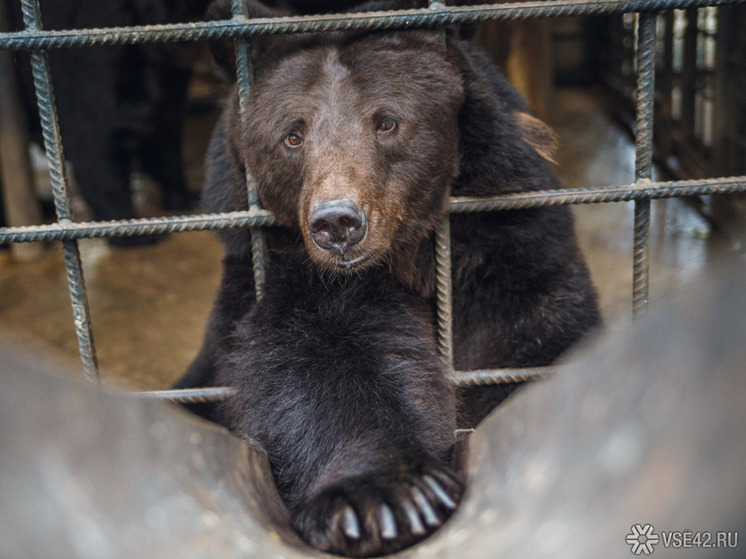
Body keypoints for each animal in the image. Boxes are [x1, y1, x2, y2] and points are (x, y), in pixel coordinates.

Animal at [174, 2, 600, 556]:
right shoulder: (286, 279)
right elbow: (320, 363)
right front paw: (384, 496)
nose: (337, 222)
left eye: (387, 122)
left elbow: (531, 338)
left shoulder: (509, 248)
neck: (407, 259)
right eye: (293, 134)